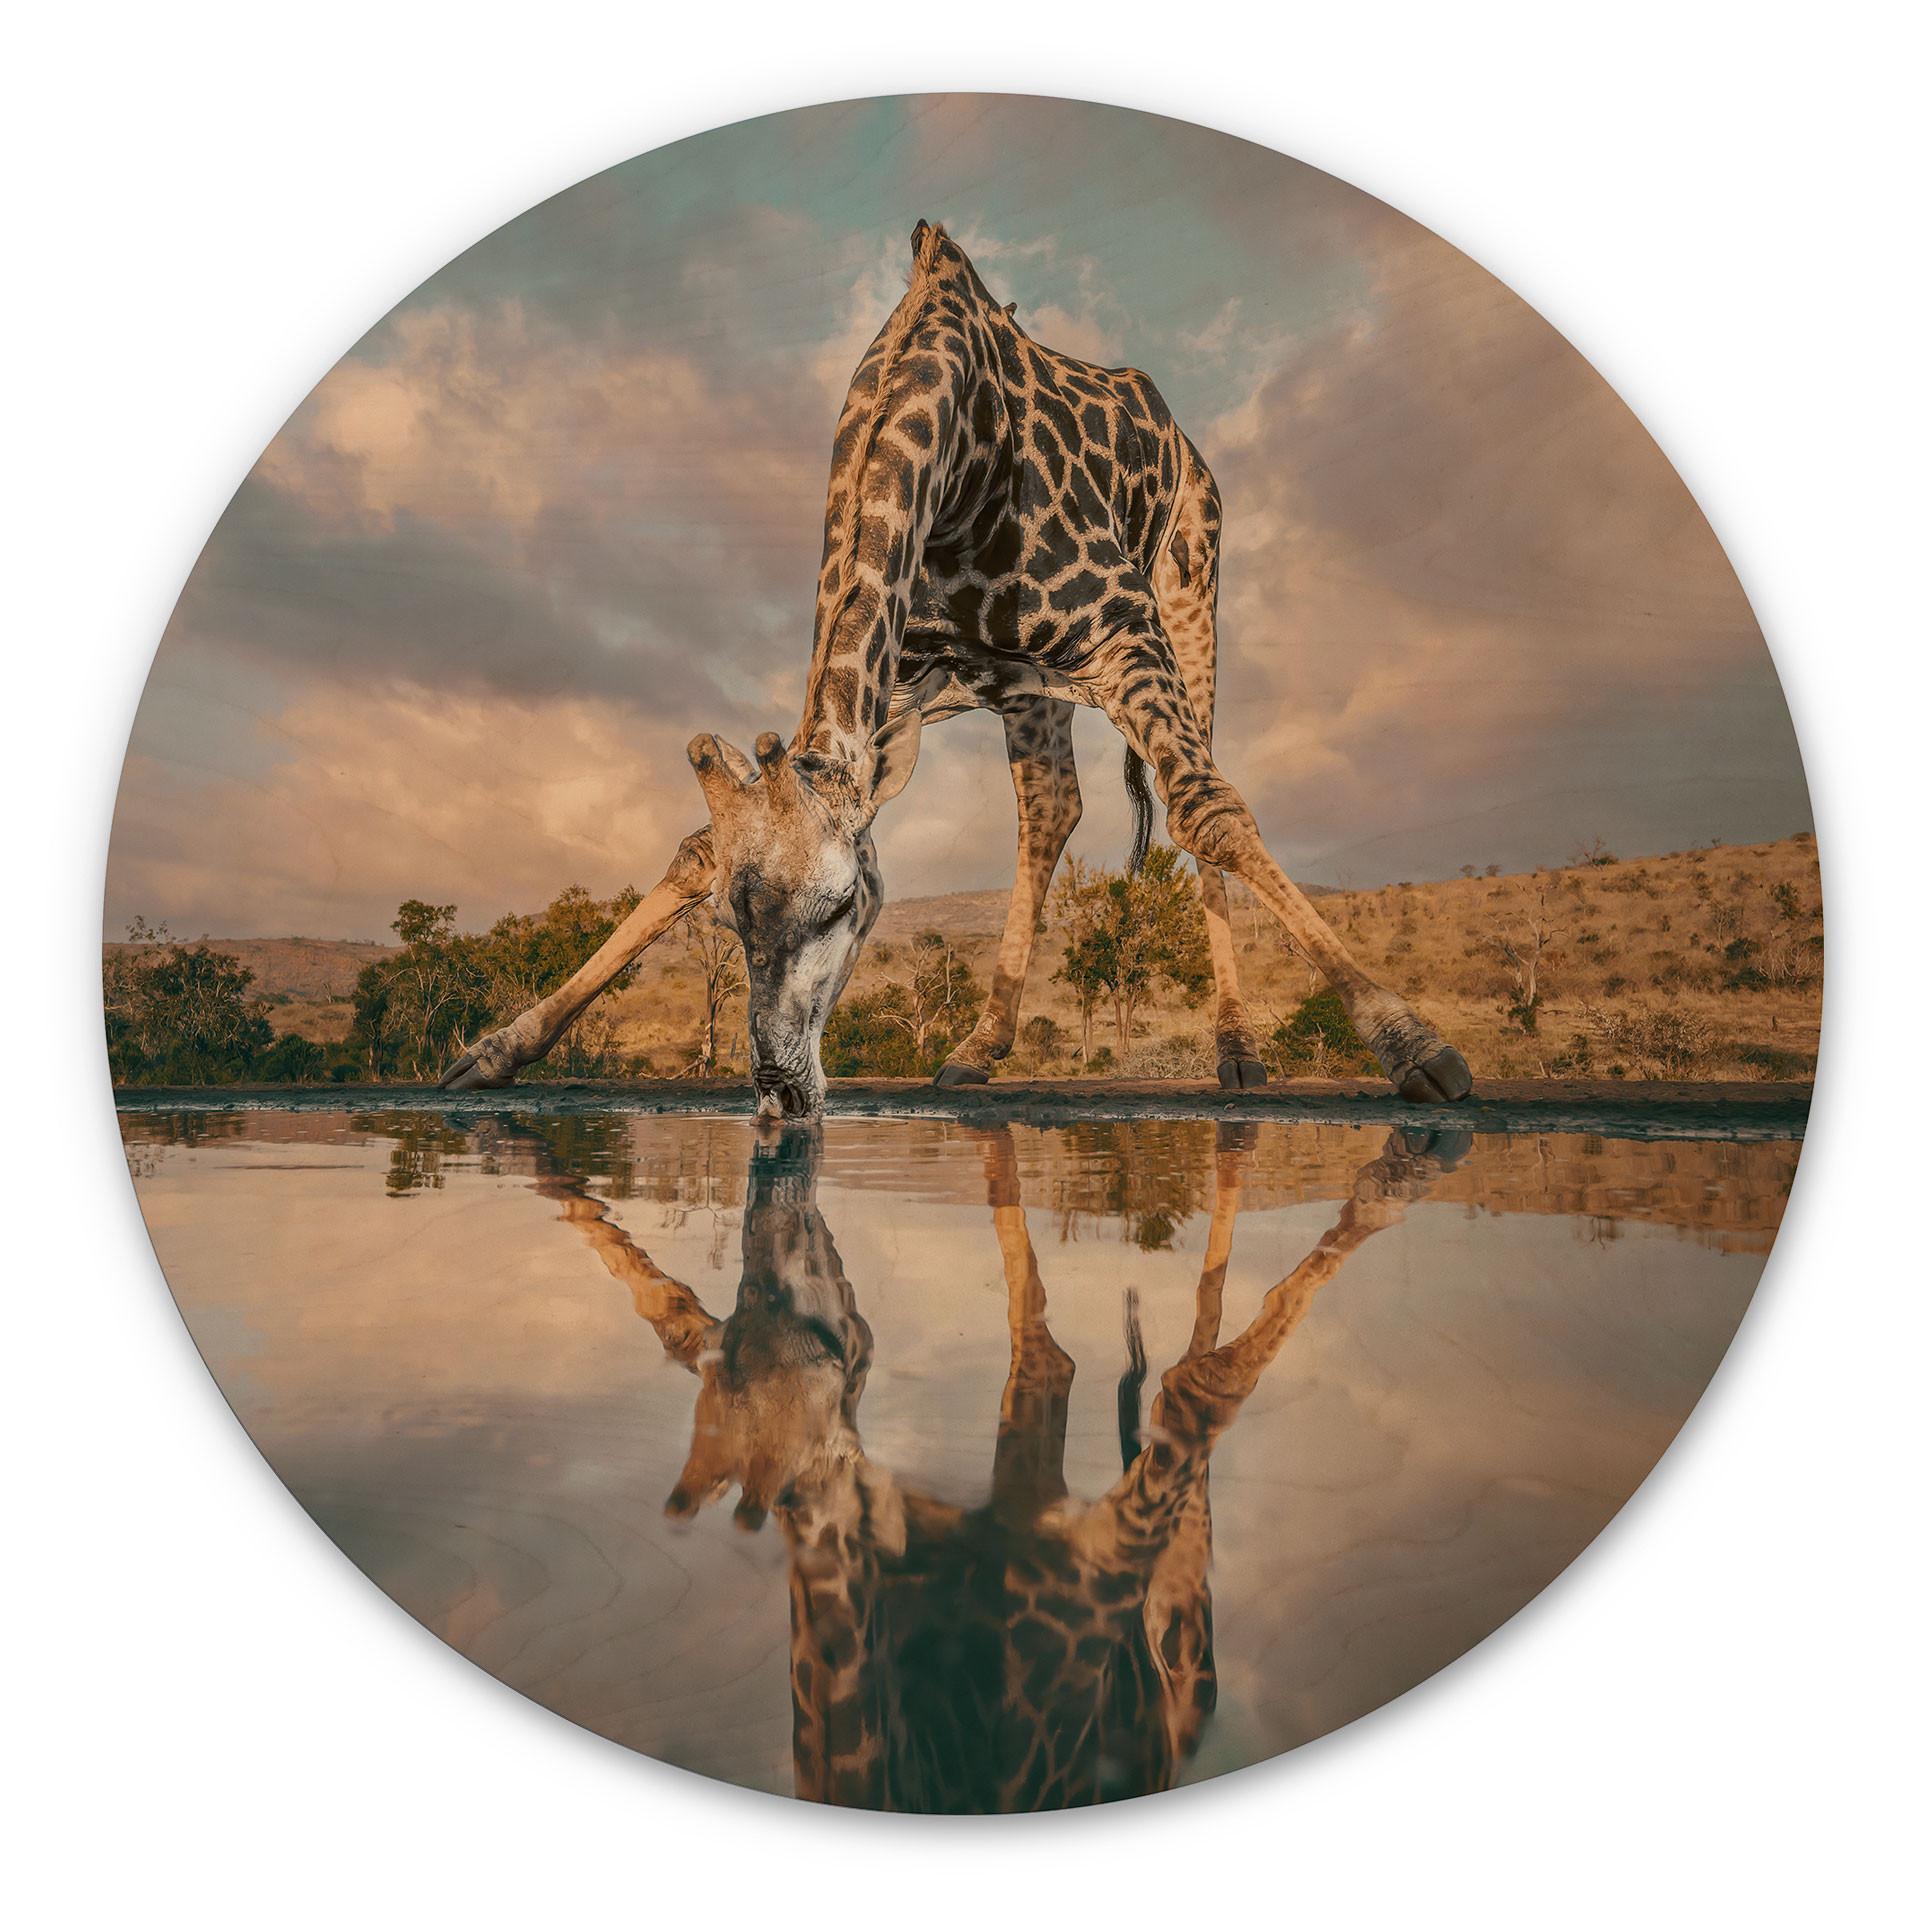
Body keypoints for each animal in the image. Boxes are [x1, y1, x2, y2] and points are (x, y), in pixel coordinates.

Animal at [440, 221, 1474, 1117]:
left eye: (842, 907)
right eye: (735, 928)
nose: (779, 1093)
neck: (958, 454)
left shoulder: (1122, 627)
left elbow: (1209, 810)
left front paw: (1416, 1048)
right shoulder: (893, 687)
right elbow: (696, 848)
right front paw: (494, 1049)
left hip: (1191, 596)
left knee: (1191, 797)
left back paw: (1235, 1053)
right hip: (1025, 687)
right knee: (1051, 810)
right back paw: (979, 1047)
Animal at [517, 1115, 1463, 1808]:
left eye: (826, 1344)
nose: (800, 1246)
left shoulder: (1100, 1557)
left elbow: (1198, 1391)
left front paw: (1390, 1186)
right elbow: (1079, 1360)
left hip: (1180, 1630)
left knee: (1184, 1439)